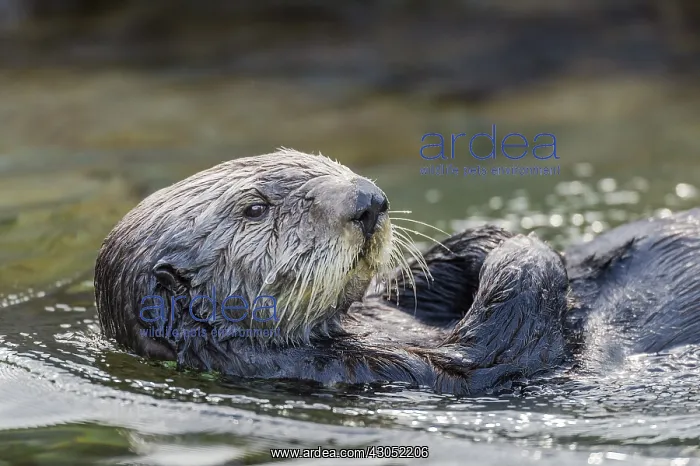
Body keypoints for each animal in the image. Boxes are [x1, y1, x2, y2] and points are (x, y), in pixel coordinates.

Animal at [94, 149, 700, 395]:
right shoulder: (387, 369)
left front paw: (489, 238)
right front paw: (526, 247)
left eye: (325, 163)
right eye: (255, 209)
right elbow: (498, 346)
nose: (368, 201)